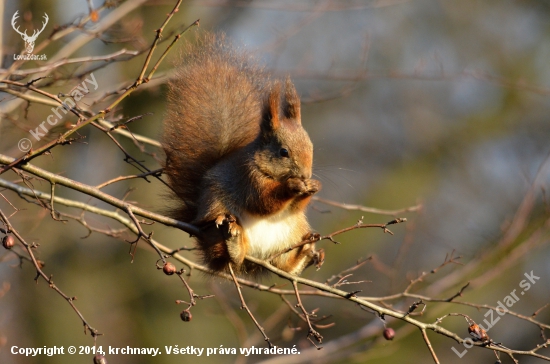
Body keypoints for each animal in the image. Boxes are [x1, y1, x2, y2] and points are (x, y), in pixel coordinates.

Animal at [162, 34, 324, 274]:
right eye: (284, 152)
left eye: (311, 147)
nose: (305, 175)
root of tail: (256, 257)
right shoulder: (248, 177)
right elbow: (262, 201)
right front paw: (292, 186)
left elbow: (293, 206)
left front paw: (313, 187)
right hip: (213, 223)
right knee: (227, 257)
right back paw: (234, 244)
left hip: (292, 232)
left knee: (285, 266)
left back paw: (304, 251)